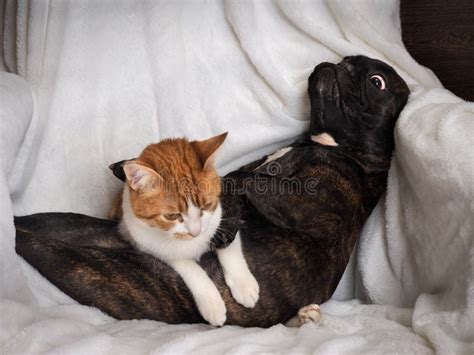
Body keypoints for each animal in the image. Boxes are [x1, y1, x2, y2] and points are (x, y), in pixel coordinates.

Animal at [111, 133, 260, 326]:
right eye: (172, 216)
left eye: (206, 206)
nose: (195, 232)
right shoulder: (149, 245)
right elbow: (190, 268)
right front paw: (212, 302)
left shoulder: (221, 219)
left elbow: (229, 247)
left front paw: (243, 283)